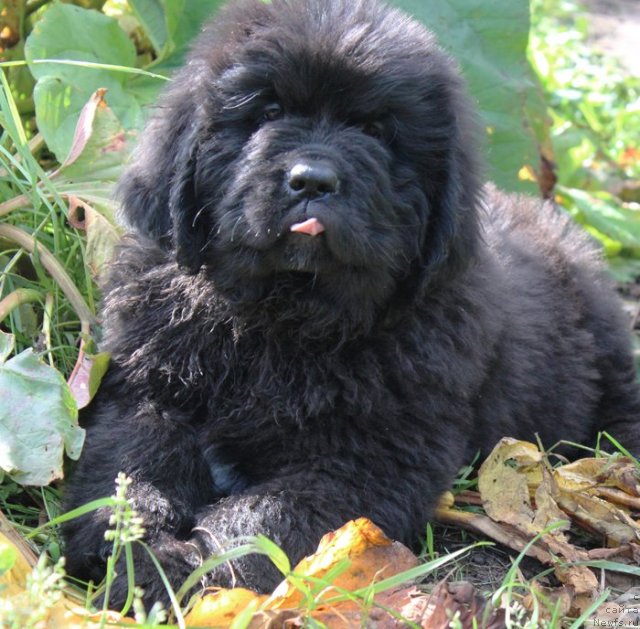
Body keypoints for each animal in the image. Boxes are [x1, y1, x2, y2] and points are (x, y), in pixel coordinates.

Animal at [62, 0, 640, 612]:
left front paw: (189, 574)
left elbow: (264, 516)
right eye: (269, 111)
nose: (313, 179)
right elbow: (132, 466)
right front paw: (130, 549)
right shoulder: (146, 389)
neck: (279, 319)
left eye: (374, 131)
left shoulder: (369, 459)